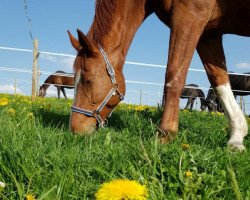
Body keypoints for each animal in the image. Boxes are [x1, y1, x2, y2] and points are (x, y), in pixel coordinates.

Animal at [67, 0, 249, 150]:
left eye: (87, 80)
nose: (75, 130)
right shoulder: (209, 33)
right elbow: (219, 81)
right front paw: (236, 137)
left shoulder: (190, 15)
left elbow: (174, 74)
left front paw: (165, 135)